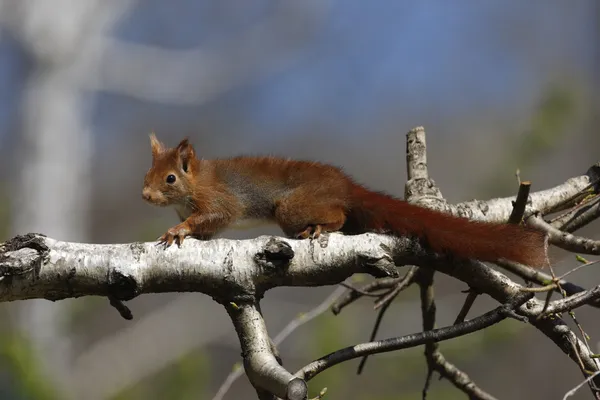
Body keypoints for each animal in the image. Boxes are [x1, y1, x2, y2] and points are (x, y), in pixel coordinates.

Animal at [142, 134, 548, 268]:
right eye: (147, 173)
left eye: (170, 178)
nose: (144, 195)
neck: (196, 182)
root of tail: (347, 187)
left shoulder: (219, 198)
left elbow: (214, 215)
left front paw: (179, 229)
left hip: (291, 208)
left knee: (336, 216)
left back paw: (321, 226)